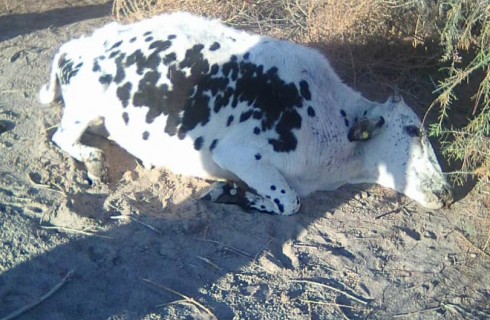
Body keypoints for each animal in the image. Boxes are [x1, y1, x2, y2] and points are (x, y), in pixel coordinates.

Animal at [38, 11, 452, 215]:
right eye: (414, 131)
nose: (449, 192)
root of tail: (81, 42)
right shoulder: (237, 153)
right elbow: (289, 202)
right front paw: (231, 193)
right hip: (84, 106)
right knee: (60, 136)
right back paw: (94, 162)